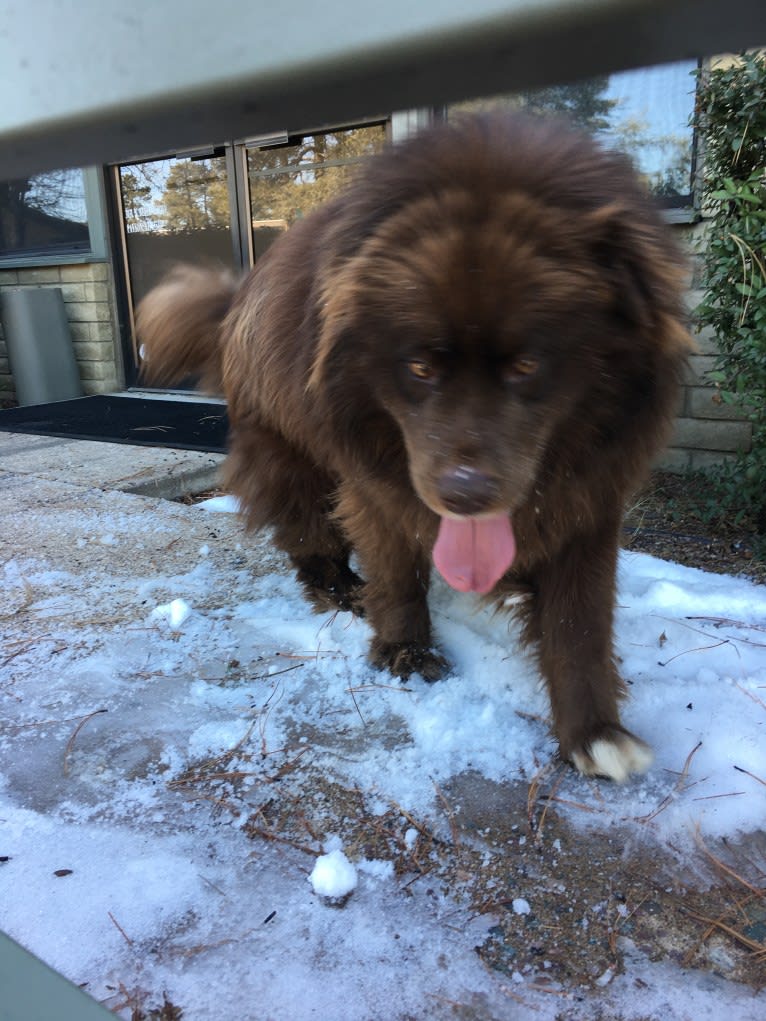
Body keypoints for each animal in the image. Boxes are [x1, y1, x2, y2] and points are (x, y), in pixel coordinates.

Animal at [139, 111, 694, 780]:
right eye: (421, 367)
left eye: (528, 365)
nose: (464, 494)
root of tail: (234, 303)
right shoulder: (376, 480)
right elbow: (397, 569)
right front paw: (404, 651)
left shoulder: (587, 498)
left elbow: (578, 619)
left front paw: (596, 733)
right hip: (289, 452)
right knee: (306, 529)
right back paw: (341, 588)